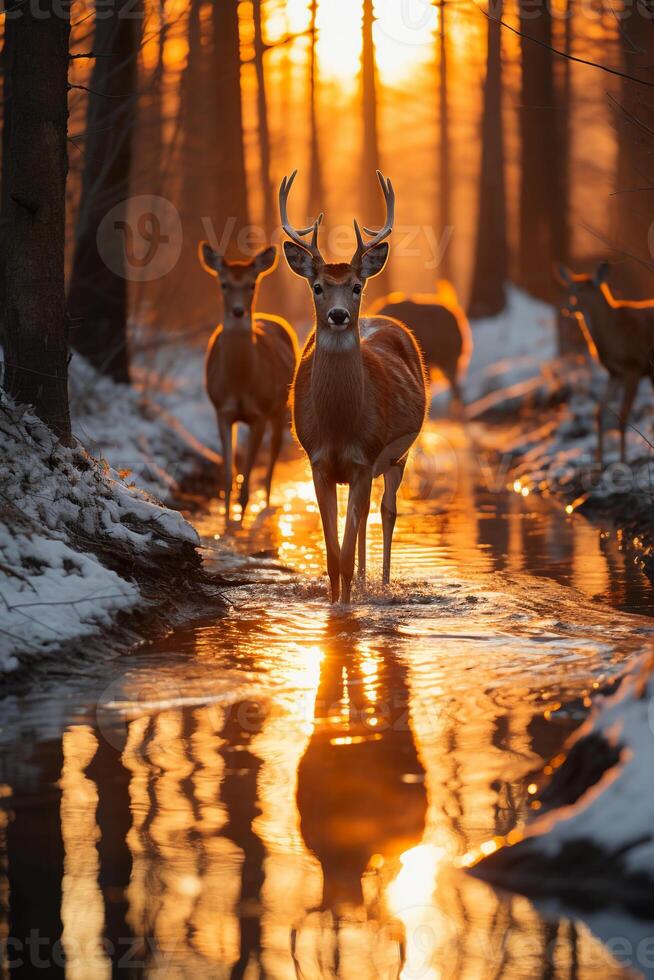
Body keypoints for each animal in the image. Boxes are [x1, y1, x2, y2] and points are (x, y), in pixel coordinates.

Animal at [200, 244, 300, 520]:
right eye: (223, 283)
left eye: (252, 284)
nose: (238, 311)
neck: (240, 384)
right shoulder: (222, 411)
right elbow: (227, 478)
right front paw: (227, 518)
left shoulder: (260, 413)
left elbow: (246, 486)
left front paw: (241, 518)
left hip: (280, 408)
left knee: (273, 457)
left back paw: (266, 503)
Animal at [280, 168, 428, 604]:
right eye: (317, 286)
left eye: (357, 286)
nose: (339, 315)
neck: (339, 426)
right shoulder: (319, 463)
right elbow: (333, 557)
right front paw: (336, 604)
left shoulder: (364, 458)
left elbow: (344, 555)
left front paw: (347, 608)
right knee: (363, 522)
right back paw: (363, 583)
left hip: (397, 457)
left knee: (386, 511)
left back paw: (381, 585)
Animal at [560, 264, 654, 468]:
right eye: (570, 287)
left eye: (585, 288)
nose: (569, 308)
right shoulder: (615, 374)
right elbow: (600, 413)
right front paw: (599, 461)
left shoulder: (634, 368)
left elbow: (623, 416)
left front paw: (623, 460)